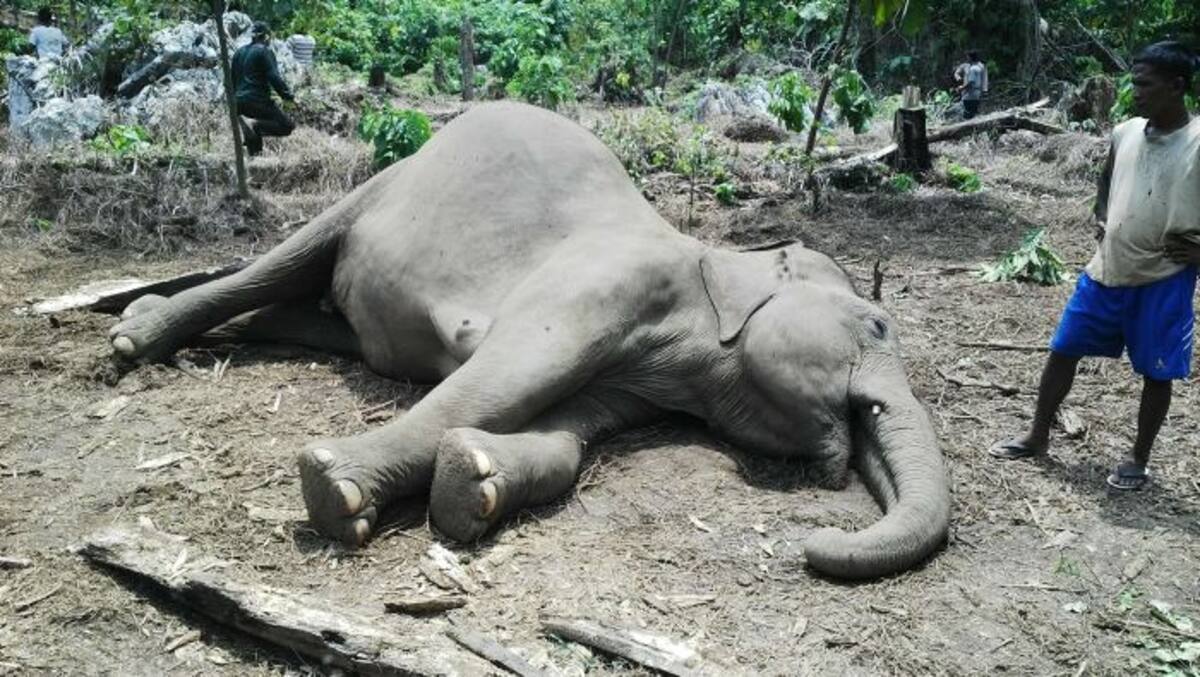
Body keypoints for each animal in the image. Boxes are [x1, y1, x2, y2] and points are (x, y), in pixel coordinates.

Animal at [108, 101, 950, 580]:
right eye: (877, 324)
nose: (809, 542)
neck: (709, 266)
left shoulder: (644, 378)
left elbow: (566, 432)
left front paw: (471, 483)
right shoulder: (602, 282)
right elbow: (504, 376)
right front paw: (335, 492)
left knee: (310, 314)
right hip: (385, 183)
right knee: (287, 258)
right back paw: (131, 339)